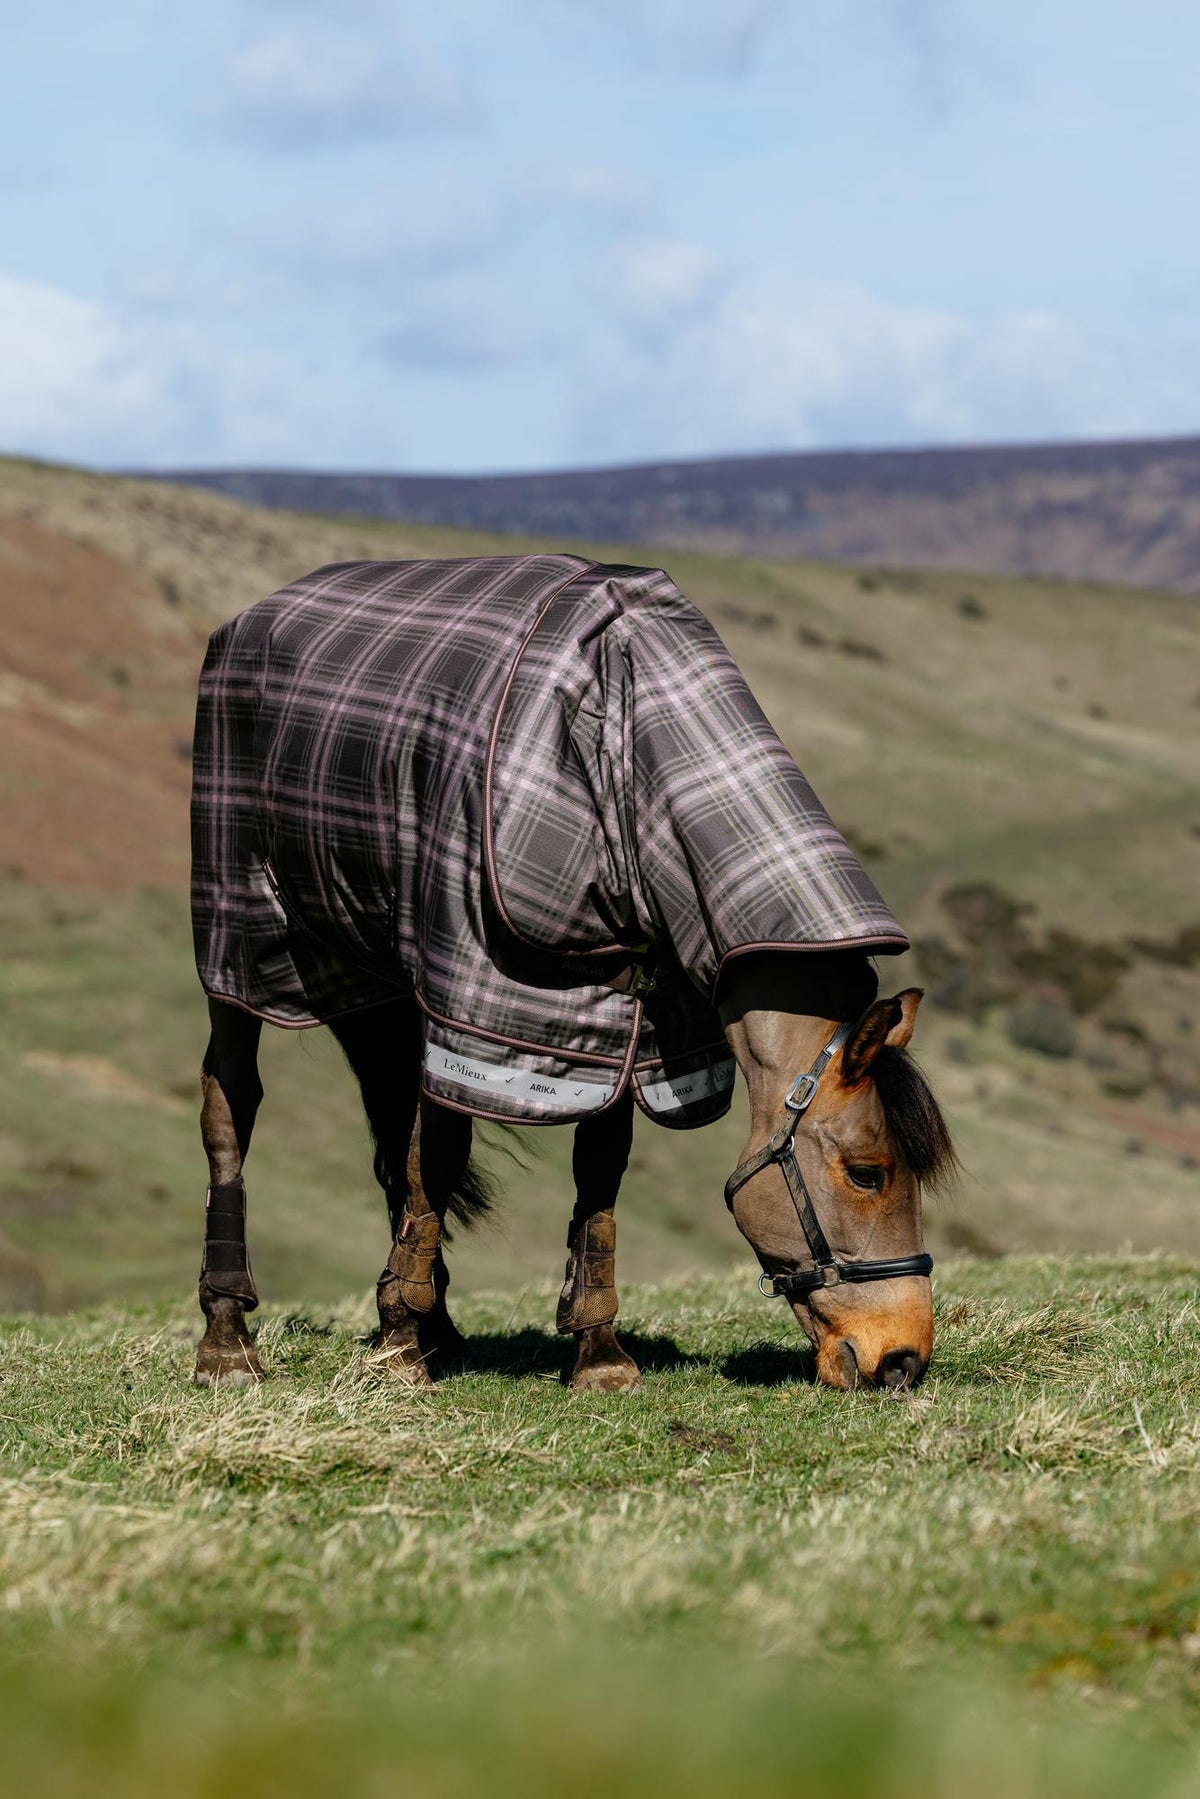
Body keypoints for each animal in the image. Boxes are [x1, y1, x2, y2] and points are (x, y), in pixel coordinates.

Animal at [190, 553, 955, 1394]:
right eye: (867, 1172)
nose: (902, 1358)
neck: (627, 751)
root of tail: (253, 616)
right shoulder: (473, 1004)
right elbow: (439, 1155)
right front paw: (397, 1354)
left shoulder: (625, 1022)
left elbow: (597, 1170)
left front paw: (595, 1354)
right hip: (242, 945)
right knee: (233, 1107)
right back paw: (227, 1340)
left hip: (382, 983)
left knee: (392, 1131)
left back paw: (439, 1330)